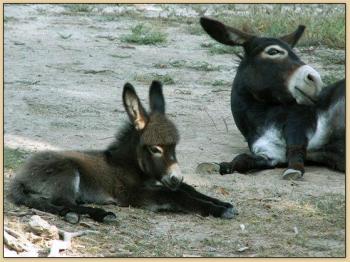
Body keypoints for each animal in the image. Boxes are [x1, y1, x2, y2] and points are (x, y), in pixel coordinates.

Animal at [10, 80, 237, 223]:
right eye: (155, 149)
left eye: (174, 147)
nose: (175, 177)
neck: (130, 166)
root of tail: (20, 176)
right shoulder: (133, 195)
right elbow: (177, 195)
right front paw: (217, 210)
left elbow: (188, 189)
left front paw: (223, 204)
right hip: (67, 172)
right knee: (60, 201)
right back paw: (101, 215)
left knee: (51, 203)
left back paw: (73, 215)